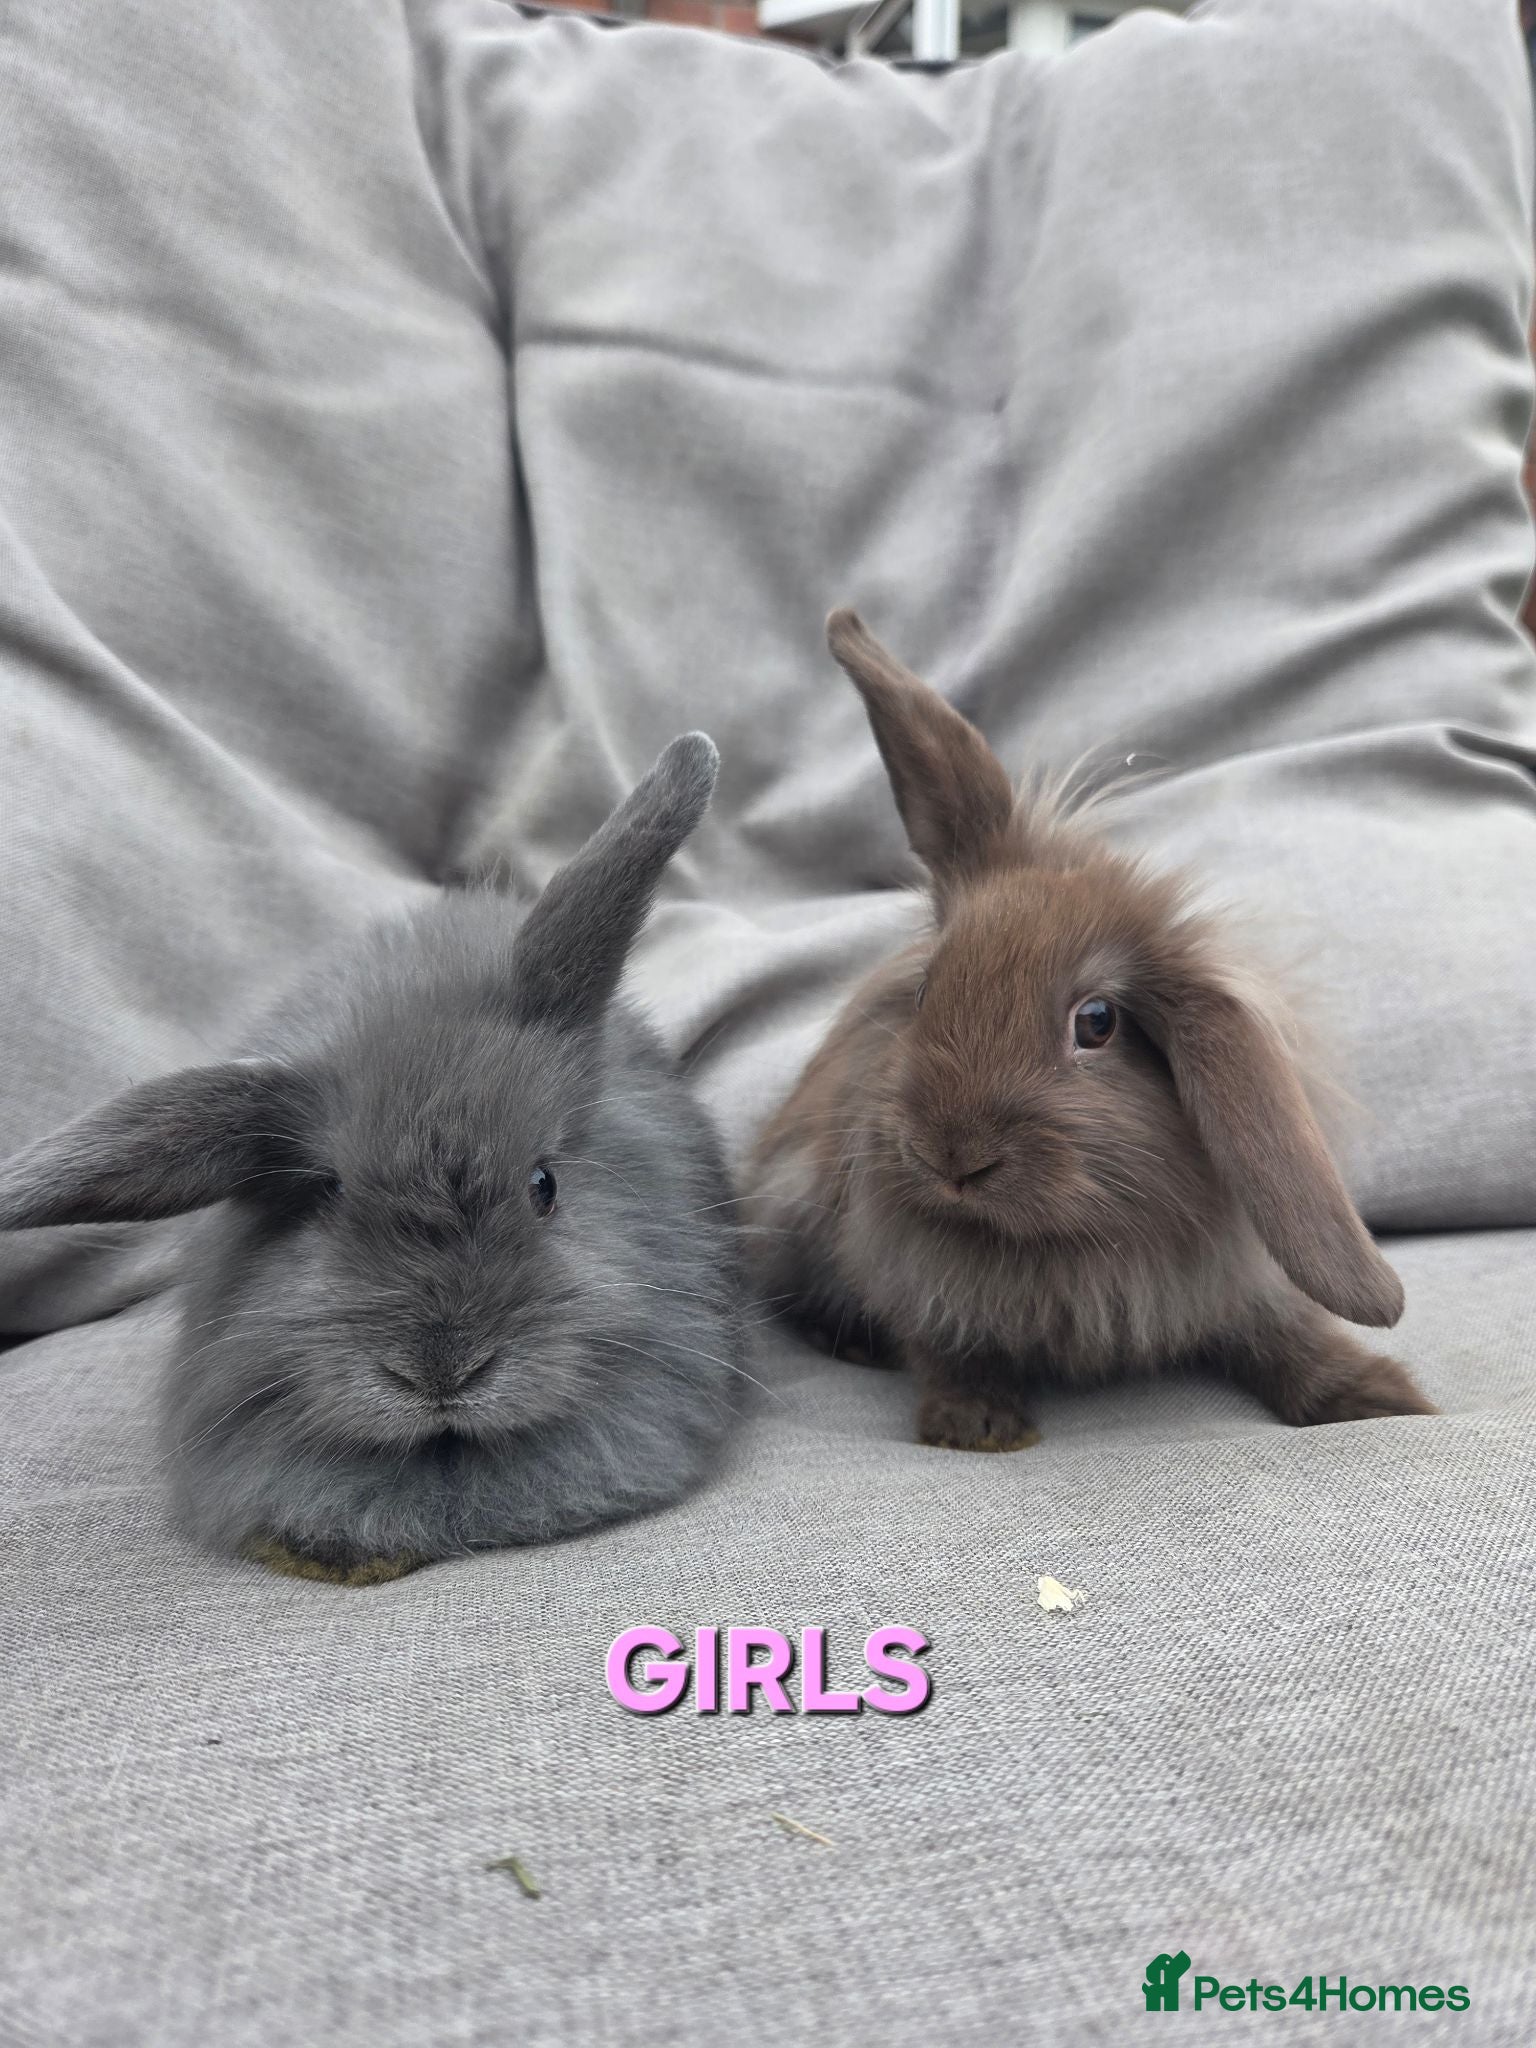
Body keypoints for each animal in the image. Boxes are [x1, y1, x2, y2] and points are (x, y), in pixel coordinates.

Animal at [745, 613, 1435, 1454]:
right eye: (927, 990)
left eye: (1096, 1023)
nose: (950, 1156)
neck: (1062, 1253)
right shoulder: (916, 1281)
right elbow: (944, 1346)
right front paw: (976, 1424)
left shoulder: (1239, 1281)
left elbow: (1287, 1332)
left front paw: (1381, 1398)